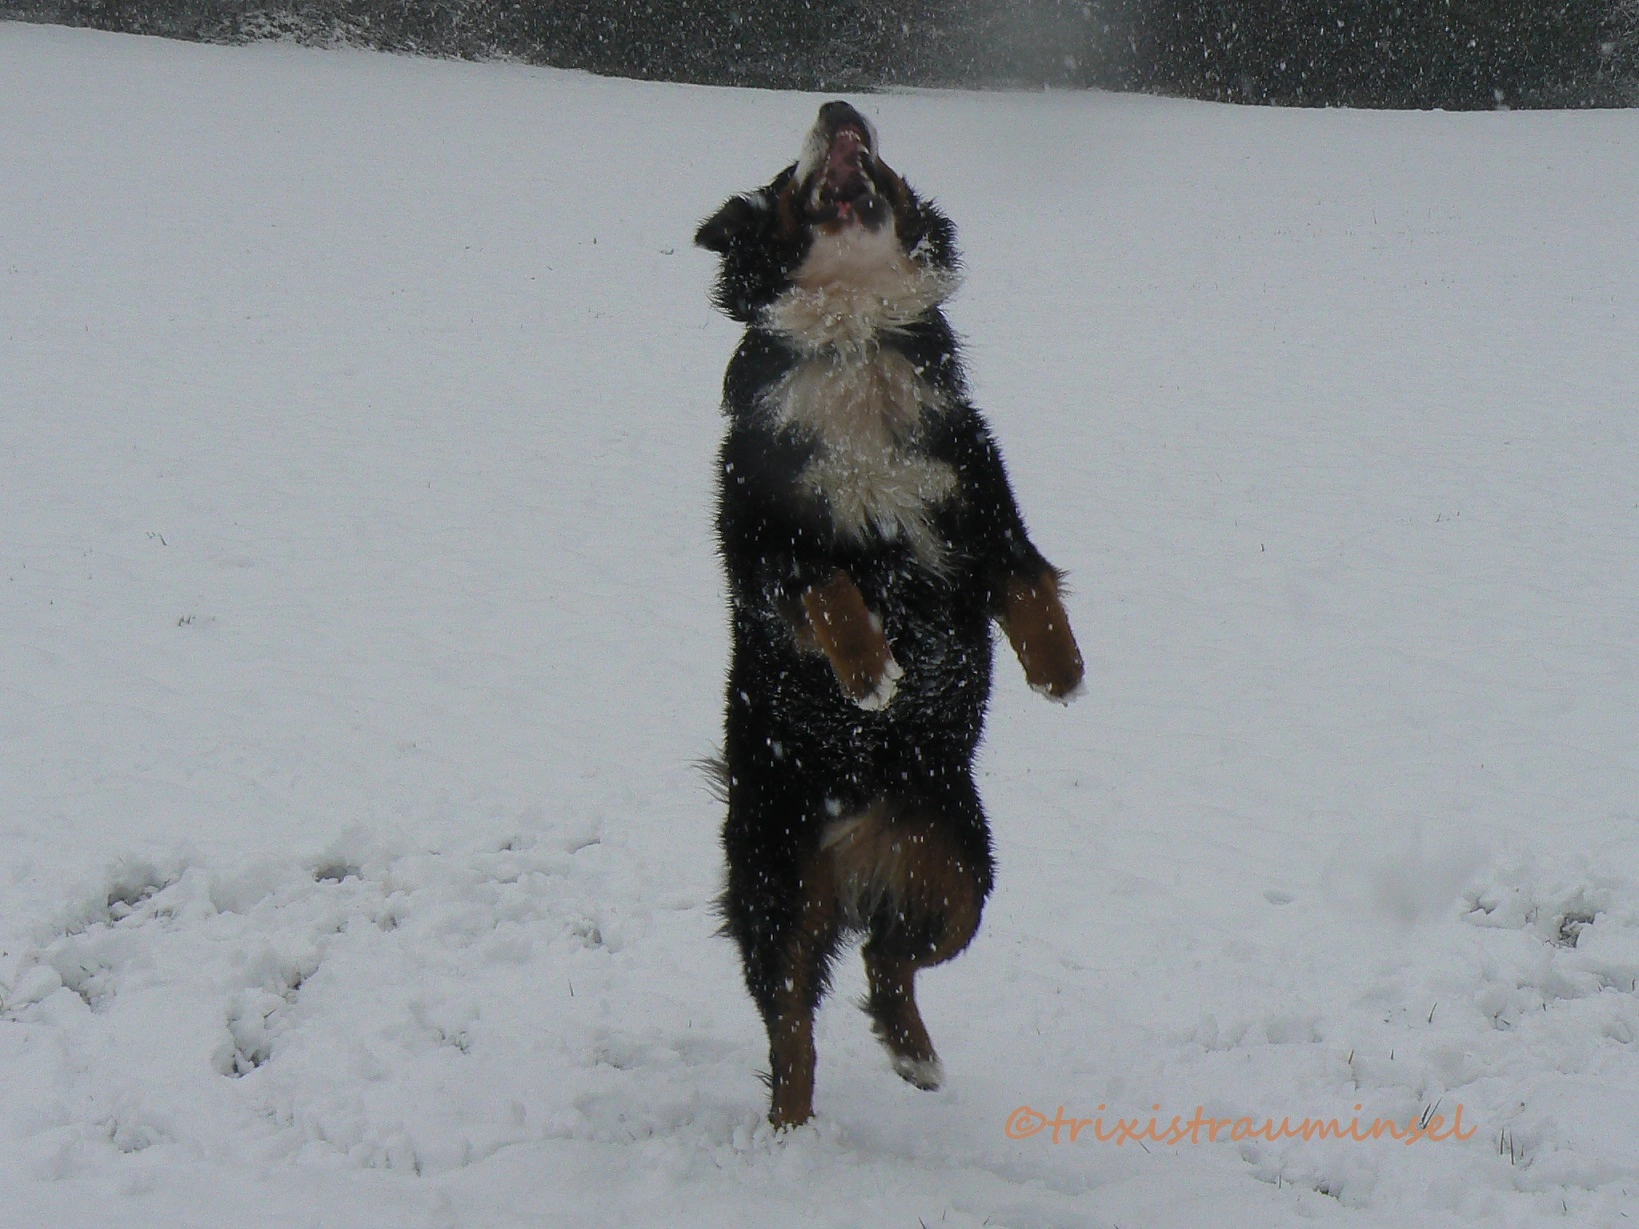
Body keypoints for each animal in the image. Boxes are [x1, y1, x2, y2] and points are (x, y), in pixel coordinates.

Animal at [696, 101, 1084, 1129]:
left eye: (887, 158)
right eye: (784, 179)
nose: (839, 109)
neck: (855, 336)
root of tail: (855, 843)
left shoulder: (973, 485)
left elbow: (1026, 578)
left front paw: (1058, 671)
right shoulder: (761, 541)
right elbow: (828, 588)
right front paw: (871, 671)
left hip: (960, 864)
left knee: (889, 958)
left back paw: (915, 1055)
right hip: (774, 881)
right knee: (790, 1022)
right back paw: (787, 1129)